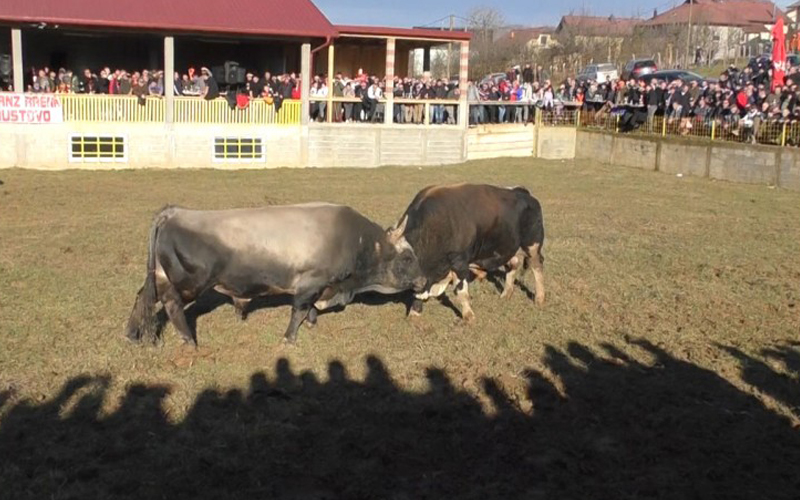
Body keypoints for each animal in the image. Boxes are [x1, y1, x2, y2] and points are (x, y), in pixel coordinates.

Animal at [123, 203, 424, 344]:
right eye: (408, 257)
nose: (423, 281)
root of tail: (174, 212)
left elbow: (310, 310)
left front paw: (312, 323)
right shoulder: (309, 283)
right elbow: (299, 310)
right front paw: (290, 337)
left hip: (160, 276)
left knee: (142, 297)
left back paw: (130, 333)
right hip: (188, 282)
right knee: (172, 305)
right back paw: (188, 340)